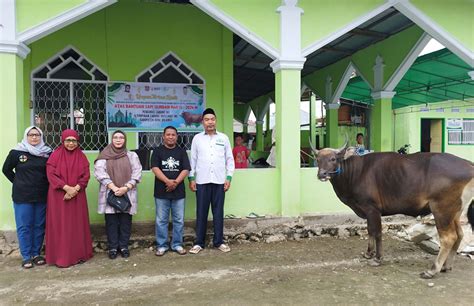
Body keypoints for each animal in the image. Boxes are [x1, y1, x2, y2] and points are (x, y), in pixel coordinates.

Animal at [312, 142, 472, 278]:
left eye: (333, 158)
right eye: (318, 159)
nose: (322, 174)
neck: (356, 172)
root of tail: (469, 165)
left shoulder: (372, 209)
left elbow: (377, 232)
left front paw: (377, 258)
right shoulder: (368, 211)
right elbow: (370, 231)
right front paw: (368, 253)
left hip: (441, 209)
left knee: (448, 238)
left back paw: (432, 270)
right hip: (455, 212)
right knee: (460, 234)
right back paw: (446, 266)